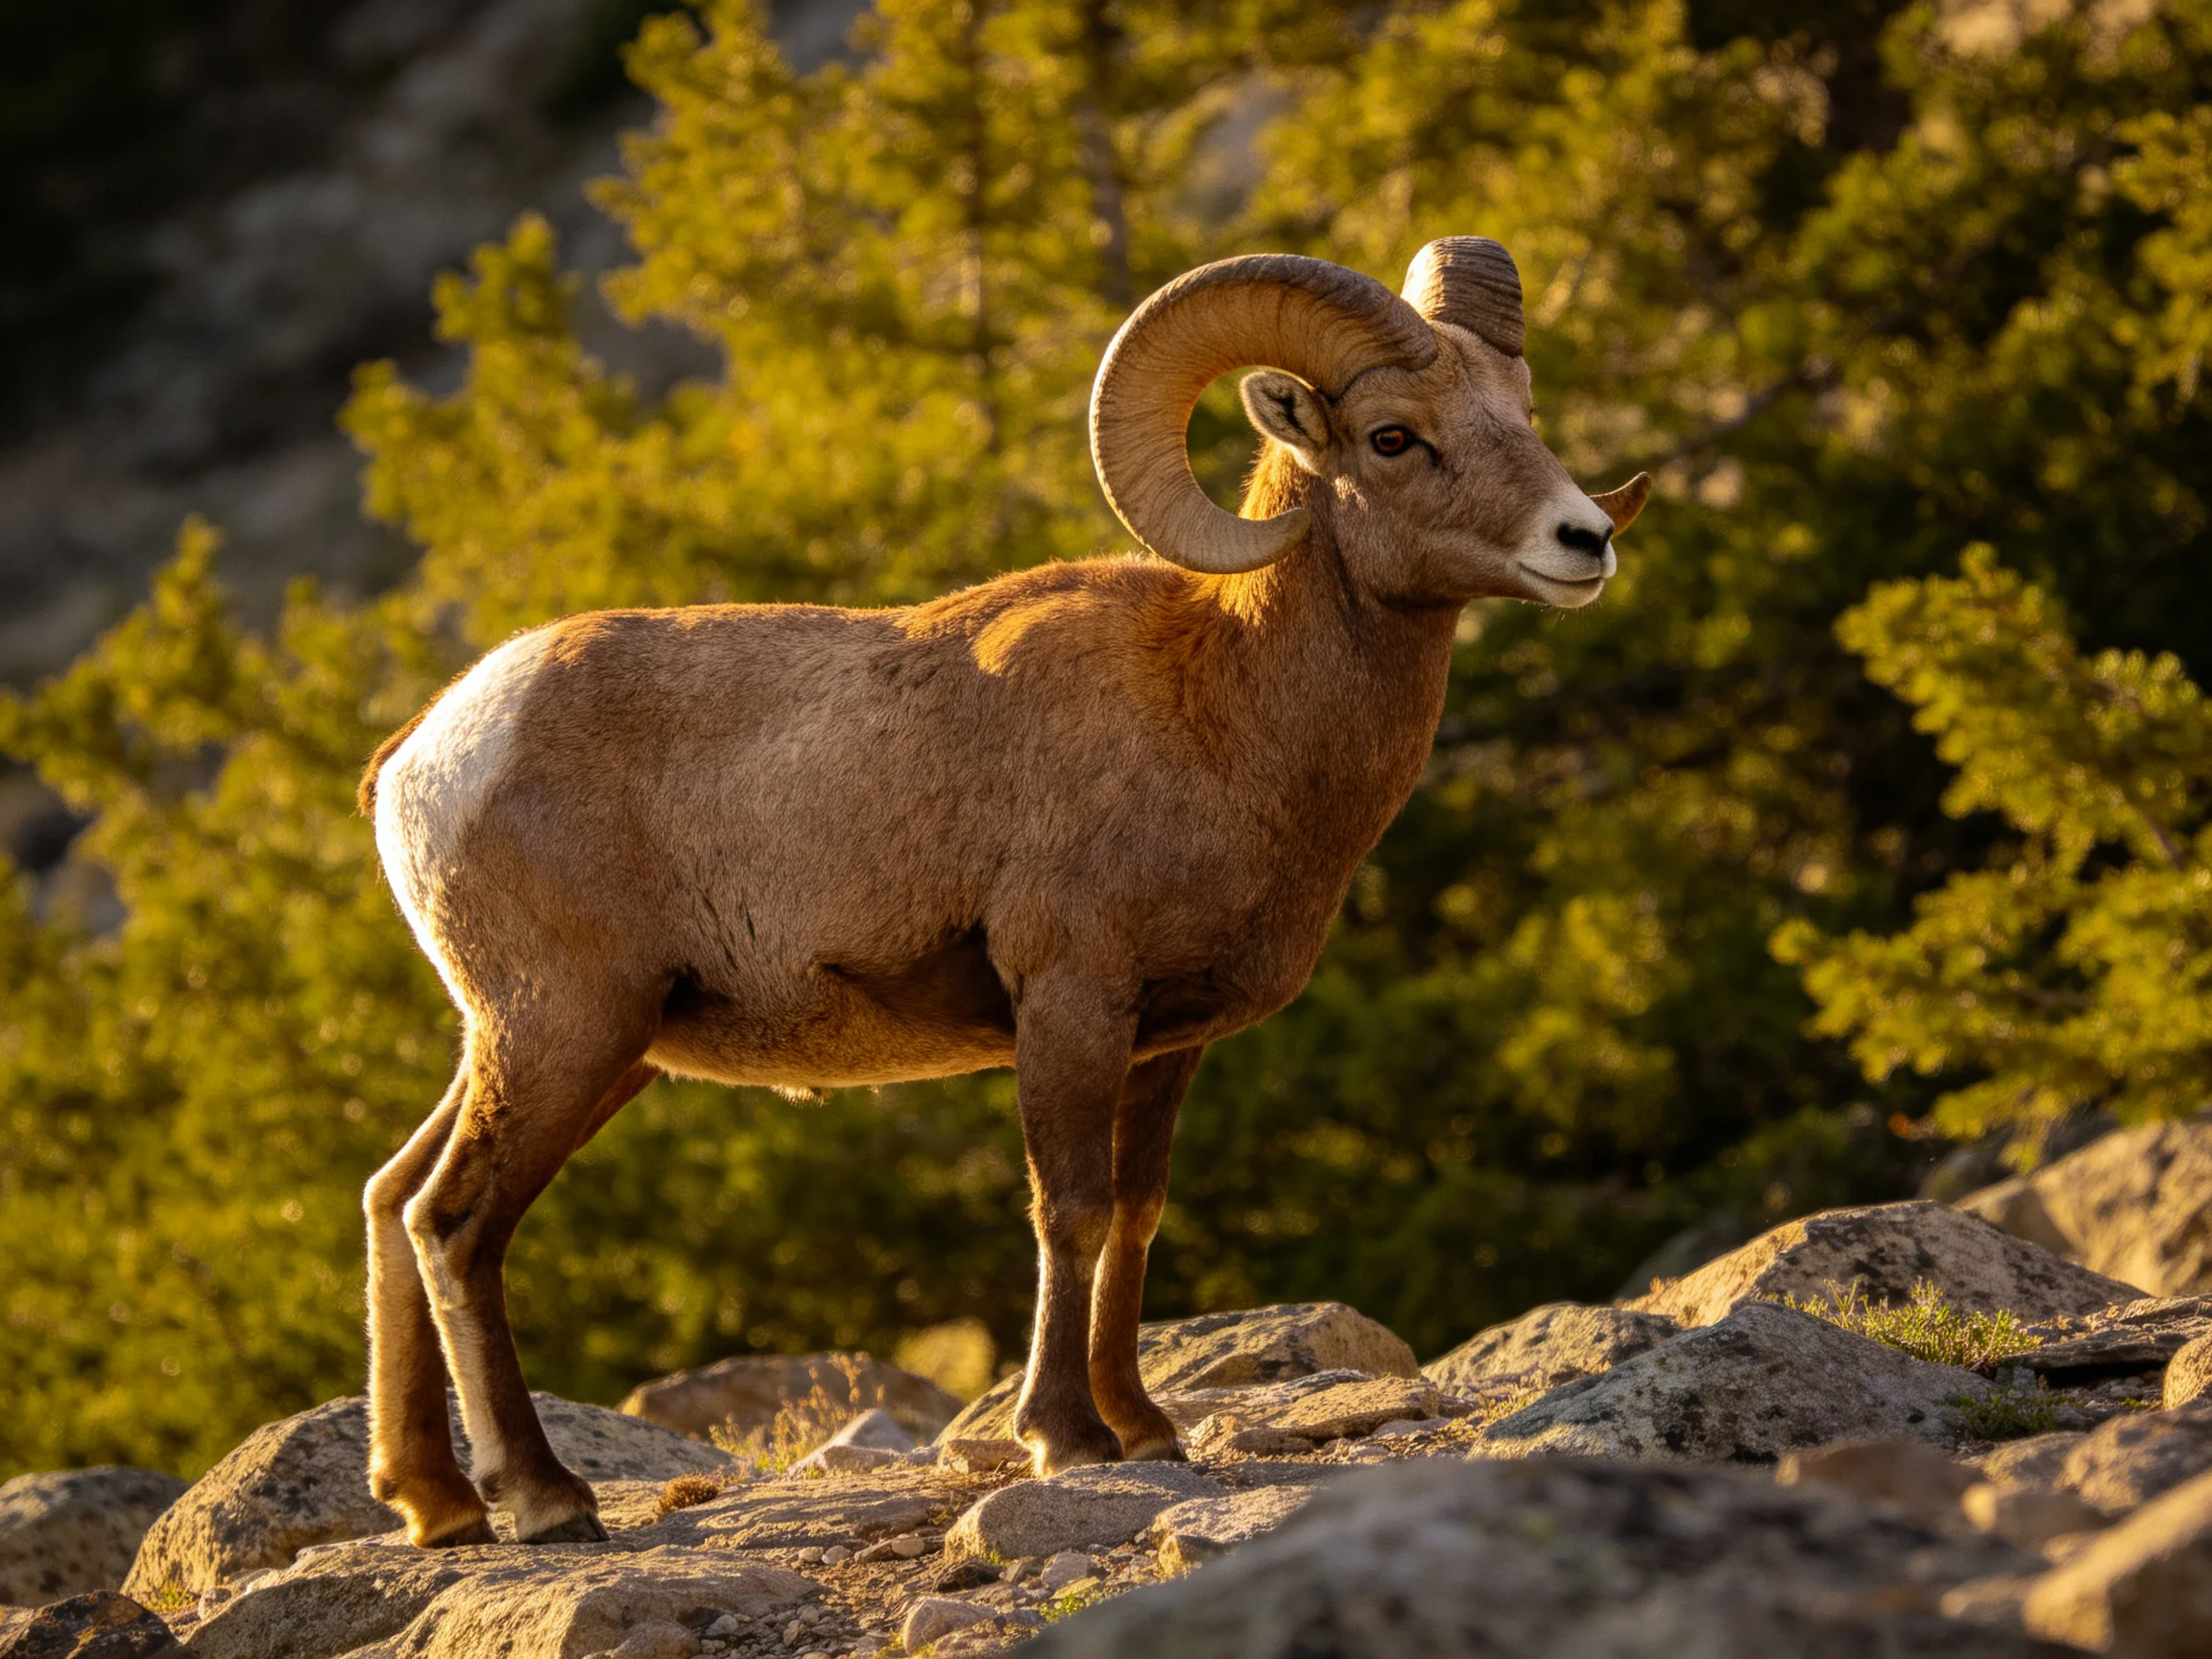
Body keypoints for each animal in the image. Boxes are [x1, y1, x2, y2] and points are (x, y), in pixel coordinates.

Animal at [357, 237, 1651, 1547]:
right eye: (1393, 437)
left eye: (1521, 409)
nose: (1584, 539)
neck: (1221, 709)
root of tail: (427, 749)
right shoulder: (1069, 1003)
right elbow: (1068, 1211)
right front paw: (1067, 1439)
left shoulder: (1166, 1043)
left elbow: (1136, 1212)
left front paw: (1145, 1428)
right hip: (565, 1032)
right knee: (455, 1223)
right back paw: (542, 1500)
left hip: (553, 1046)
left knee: (391, 1197)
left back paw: (436, 1505)